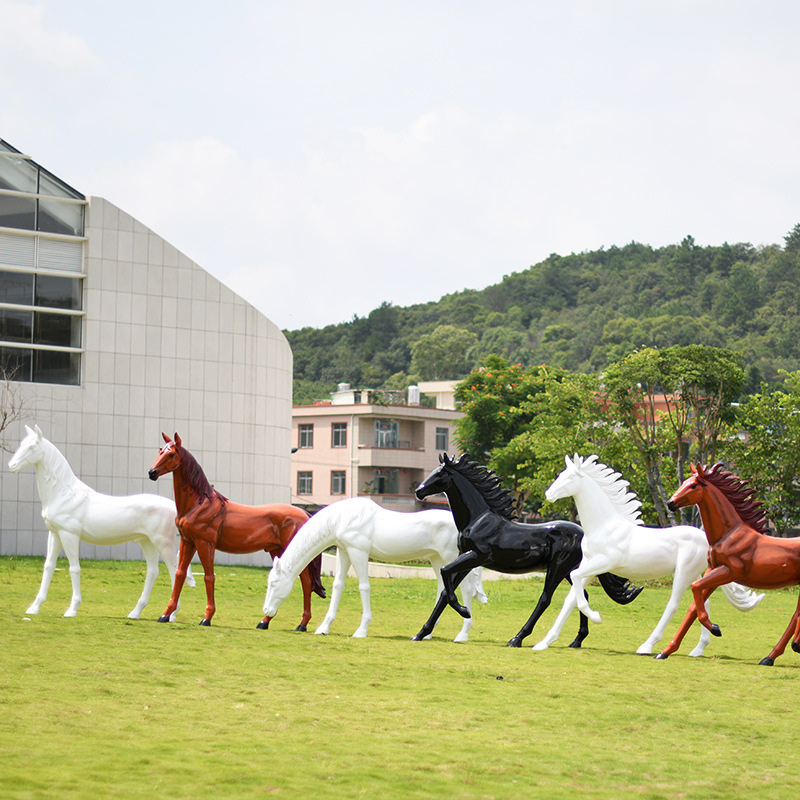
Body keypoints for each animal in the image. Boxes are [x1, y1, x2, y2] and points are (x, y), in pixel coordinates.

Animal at [9, 424, 192, 620]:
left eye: (32, 447)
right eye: (22, 444)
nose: (11, 466)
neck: (65, 493)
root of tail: (173, 506)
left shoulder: (69, 535)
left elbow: (74, 568)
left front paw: (72, 609)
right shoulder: (55, 534)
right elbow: (49, 567)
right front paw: (34, 607)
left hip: (162, 543)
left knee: (174, 571)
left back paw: (170, 615)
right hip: (147, 542)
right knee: (153, 572)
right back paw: (136, 612)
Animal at [264, 496, 488, 640]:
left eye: (274, 583)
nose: (266, 611)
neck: (343, 518)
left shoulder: (359, 552)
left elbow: (364, 587)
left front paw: (361, 630)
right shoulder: (344, 551)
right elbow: (338, 586)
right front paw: (323, 627)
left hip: (452, 558)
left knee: (465, 589)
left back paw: (463, 632)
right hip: (436, 559)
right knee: (443, 588)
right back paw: (427, 633)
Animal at [532, 456, 764, 656]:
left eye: (570, 477)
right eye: (560, 474)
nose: (548, 494)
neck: (603, 526)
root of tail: (706, 538)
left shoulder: (604, 563)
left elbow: (576, 582)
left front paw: (596, 616)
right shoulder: (589, 564)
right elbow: (570, 599)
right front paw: (543, 642)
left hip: (683, 573)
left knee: (673, 605)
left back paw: (648, 646)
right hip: (697, 574)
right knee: (702, 603)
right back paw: (700, 647)